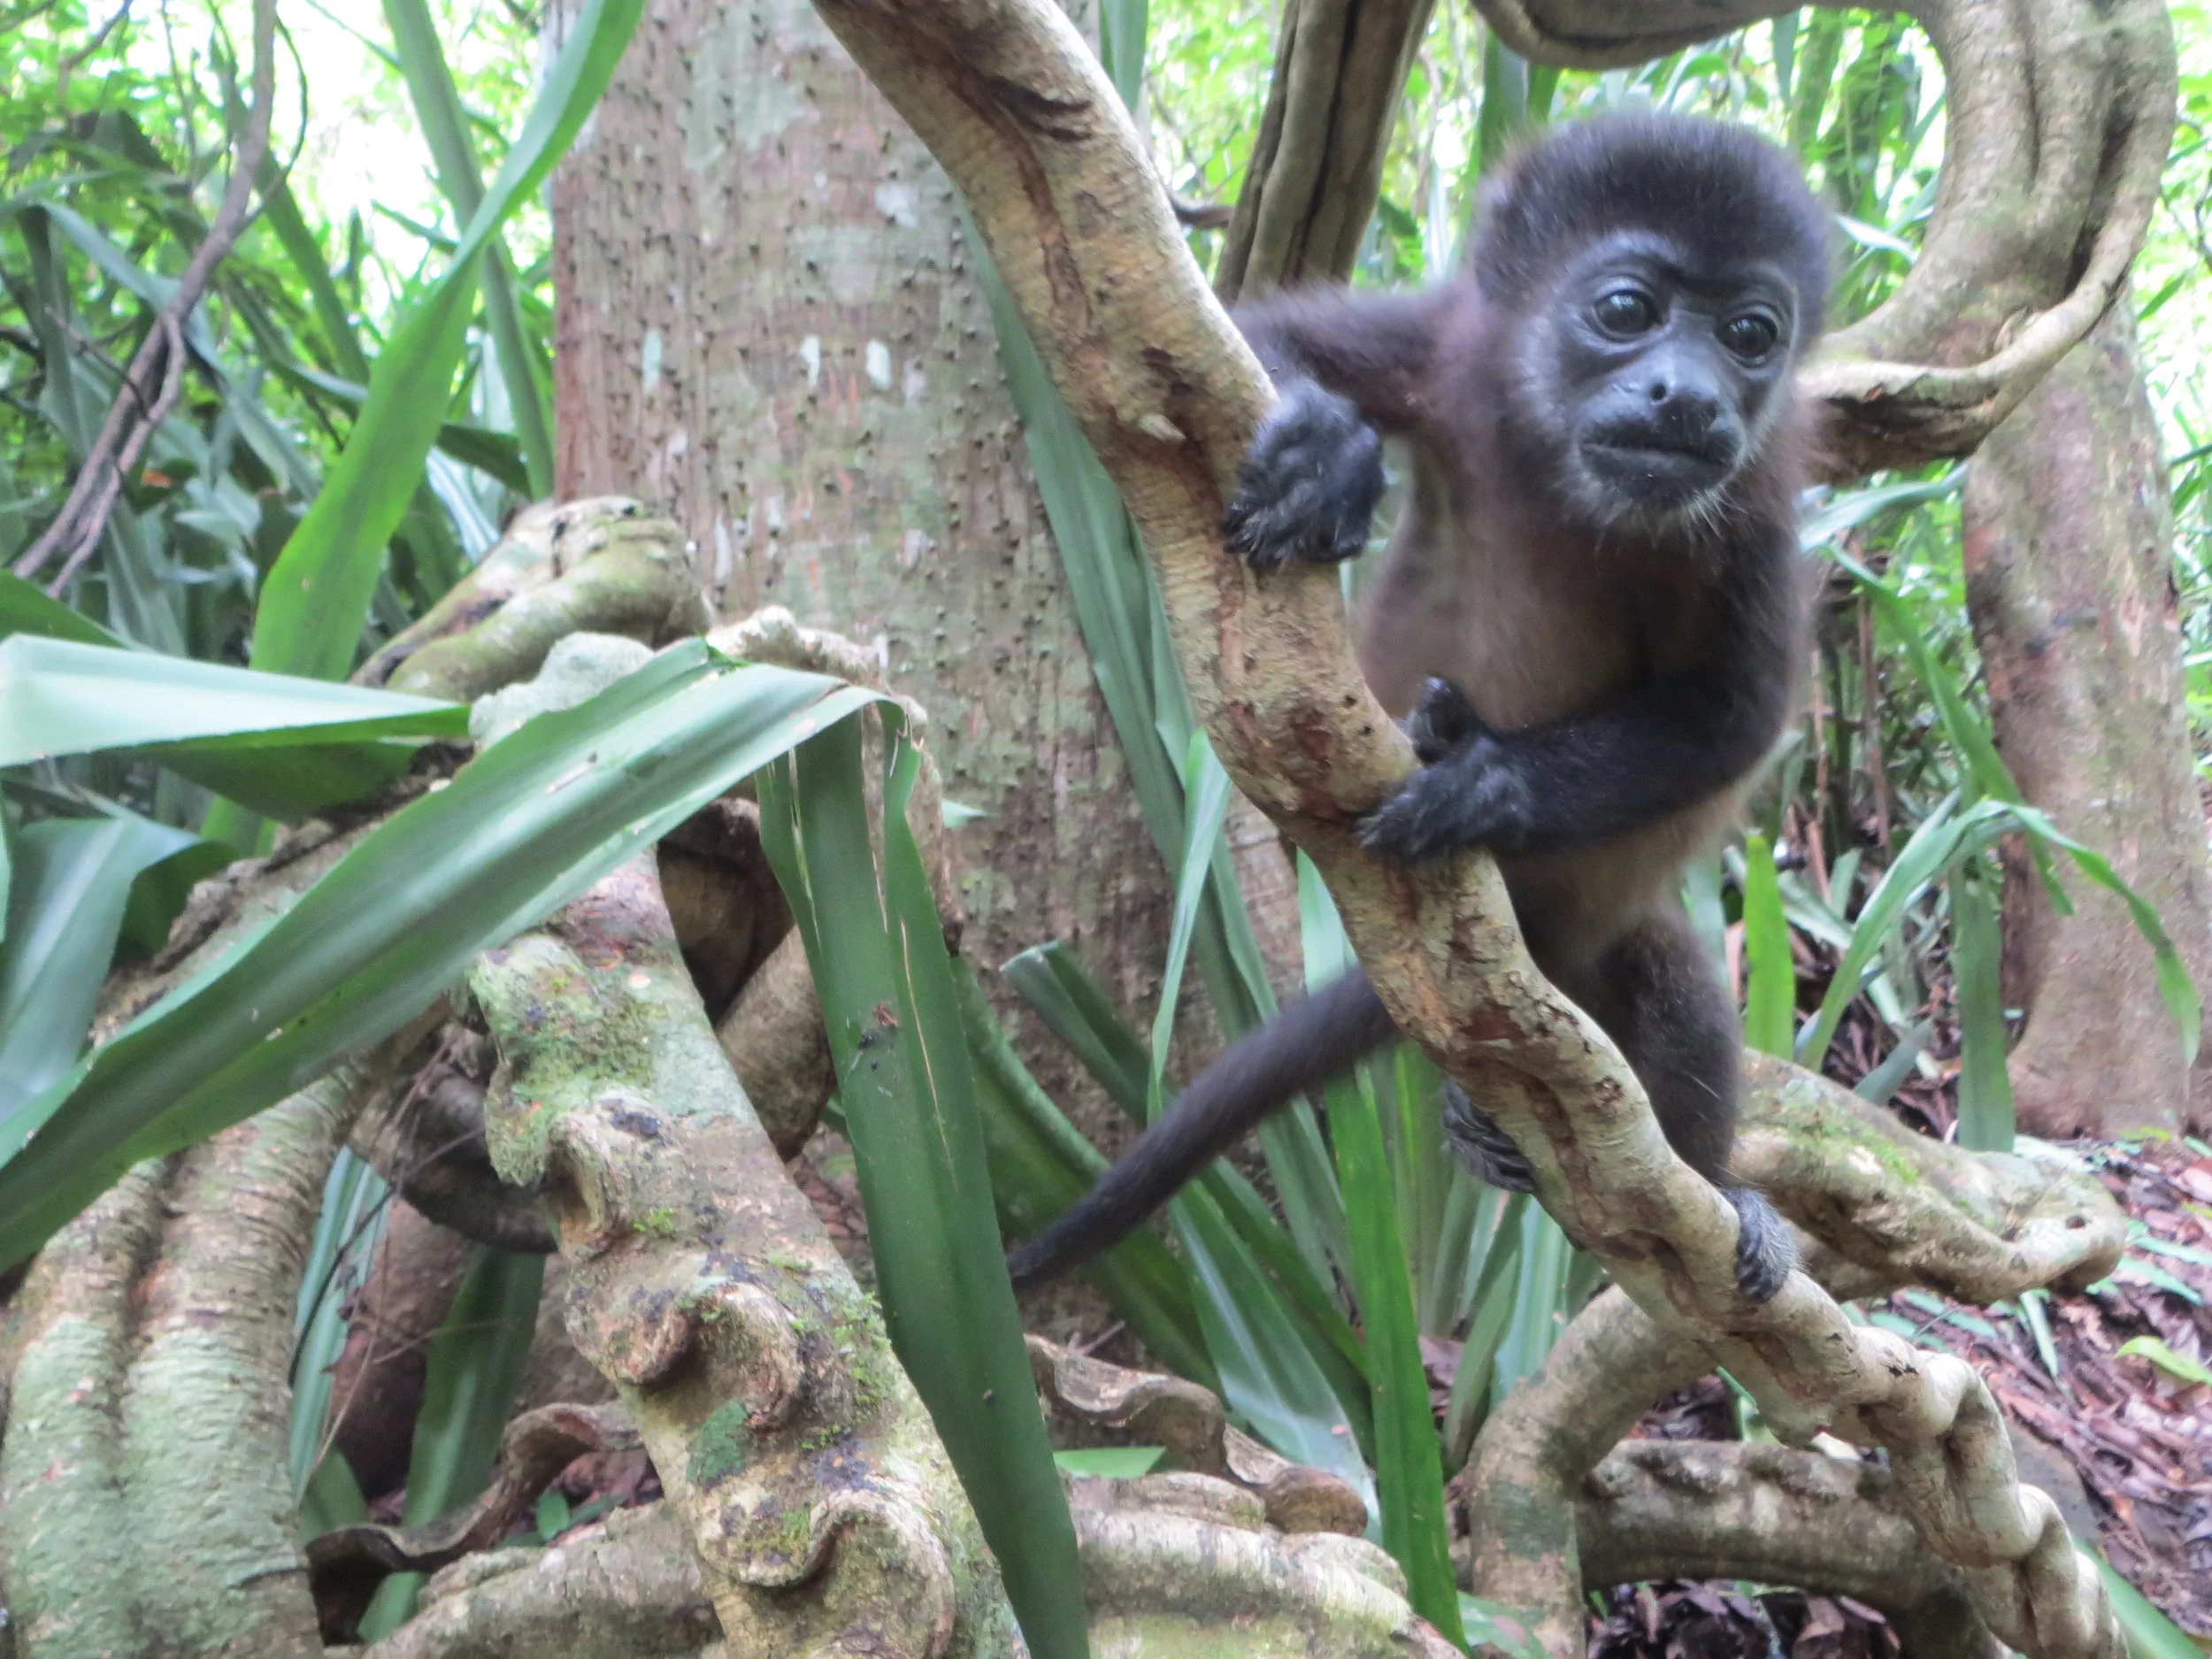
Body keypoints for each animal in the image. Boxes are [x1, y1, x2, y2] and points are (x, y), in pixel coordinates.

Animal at [1005, 113, 1831, 1305]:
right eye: (1627, 311)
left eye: (1751, 334)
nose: (1688, 395)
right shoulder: (1451, 345)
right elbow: (1222, 342)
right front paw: (1326, 449)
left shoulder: (1760, 498)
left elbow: (1733, 715)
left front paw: (1486, 785)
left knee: (1677, 980)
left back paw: (1716, 1191)